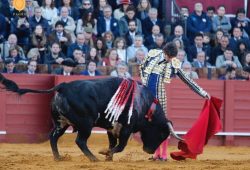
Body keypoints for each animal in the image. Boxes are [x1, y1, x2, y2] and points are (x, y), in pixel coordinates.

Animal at [0, 74, 182, 162]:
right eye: (162, 134)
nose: (149, 151)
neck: (145, 104)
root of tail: (63, 86)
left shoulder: (112, 128)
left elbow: (113, 143)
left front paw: (109, 157)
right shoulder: (126, 128)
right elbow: (120, 146)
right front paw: (105, 153)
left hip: (61, 123)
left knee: (53, 137)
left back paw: (58, 157)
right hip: (86, 124)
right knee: (80, 141)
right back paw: (93, 158)